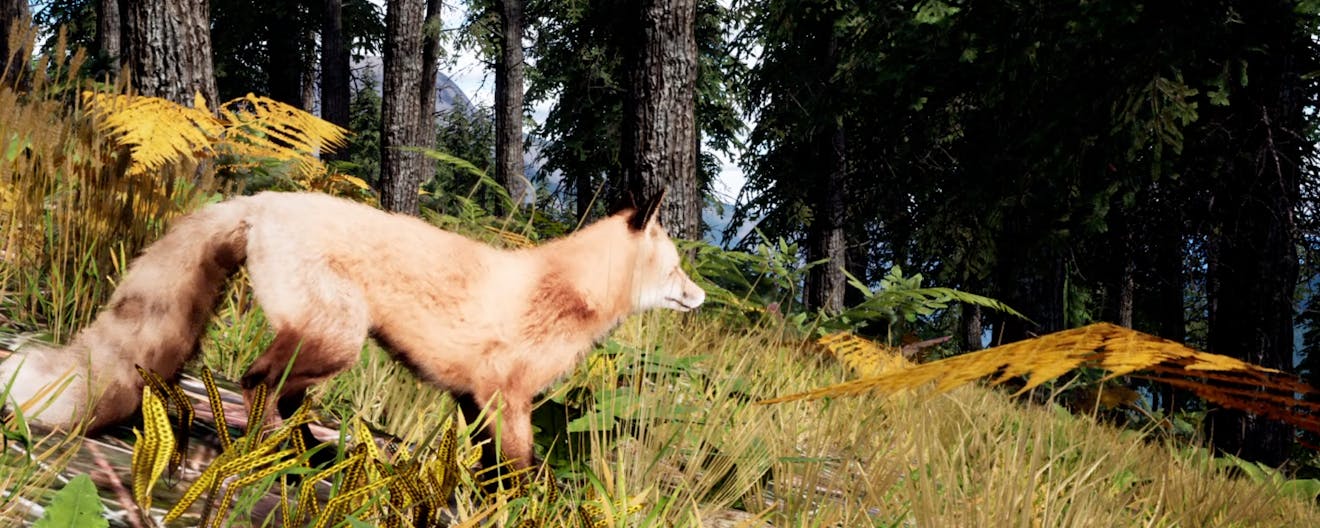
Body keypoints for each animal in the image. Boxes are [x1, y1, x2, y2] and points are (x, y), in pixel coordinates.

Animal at [0, 190, 705, 470]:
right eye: (676, 268)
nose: (698, 296)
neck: (563, 294)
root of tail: (263, 201)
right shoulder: (507, 396)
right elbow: (520, 468)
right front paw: (521, 502)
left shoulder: (472, 397)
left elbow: (485, 466)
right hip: (338, 340)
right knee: (256, 383)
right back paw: (270, 451)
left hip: (327, 342)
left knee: (280, 396)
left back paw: (306, 451)